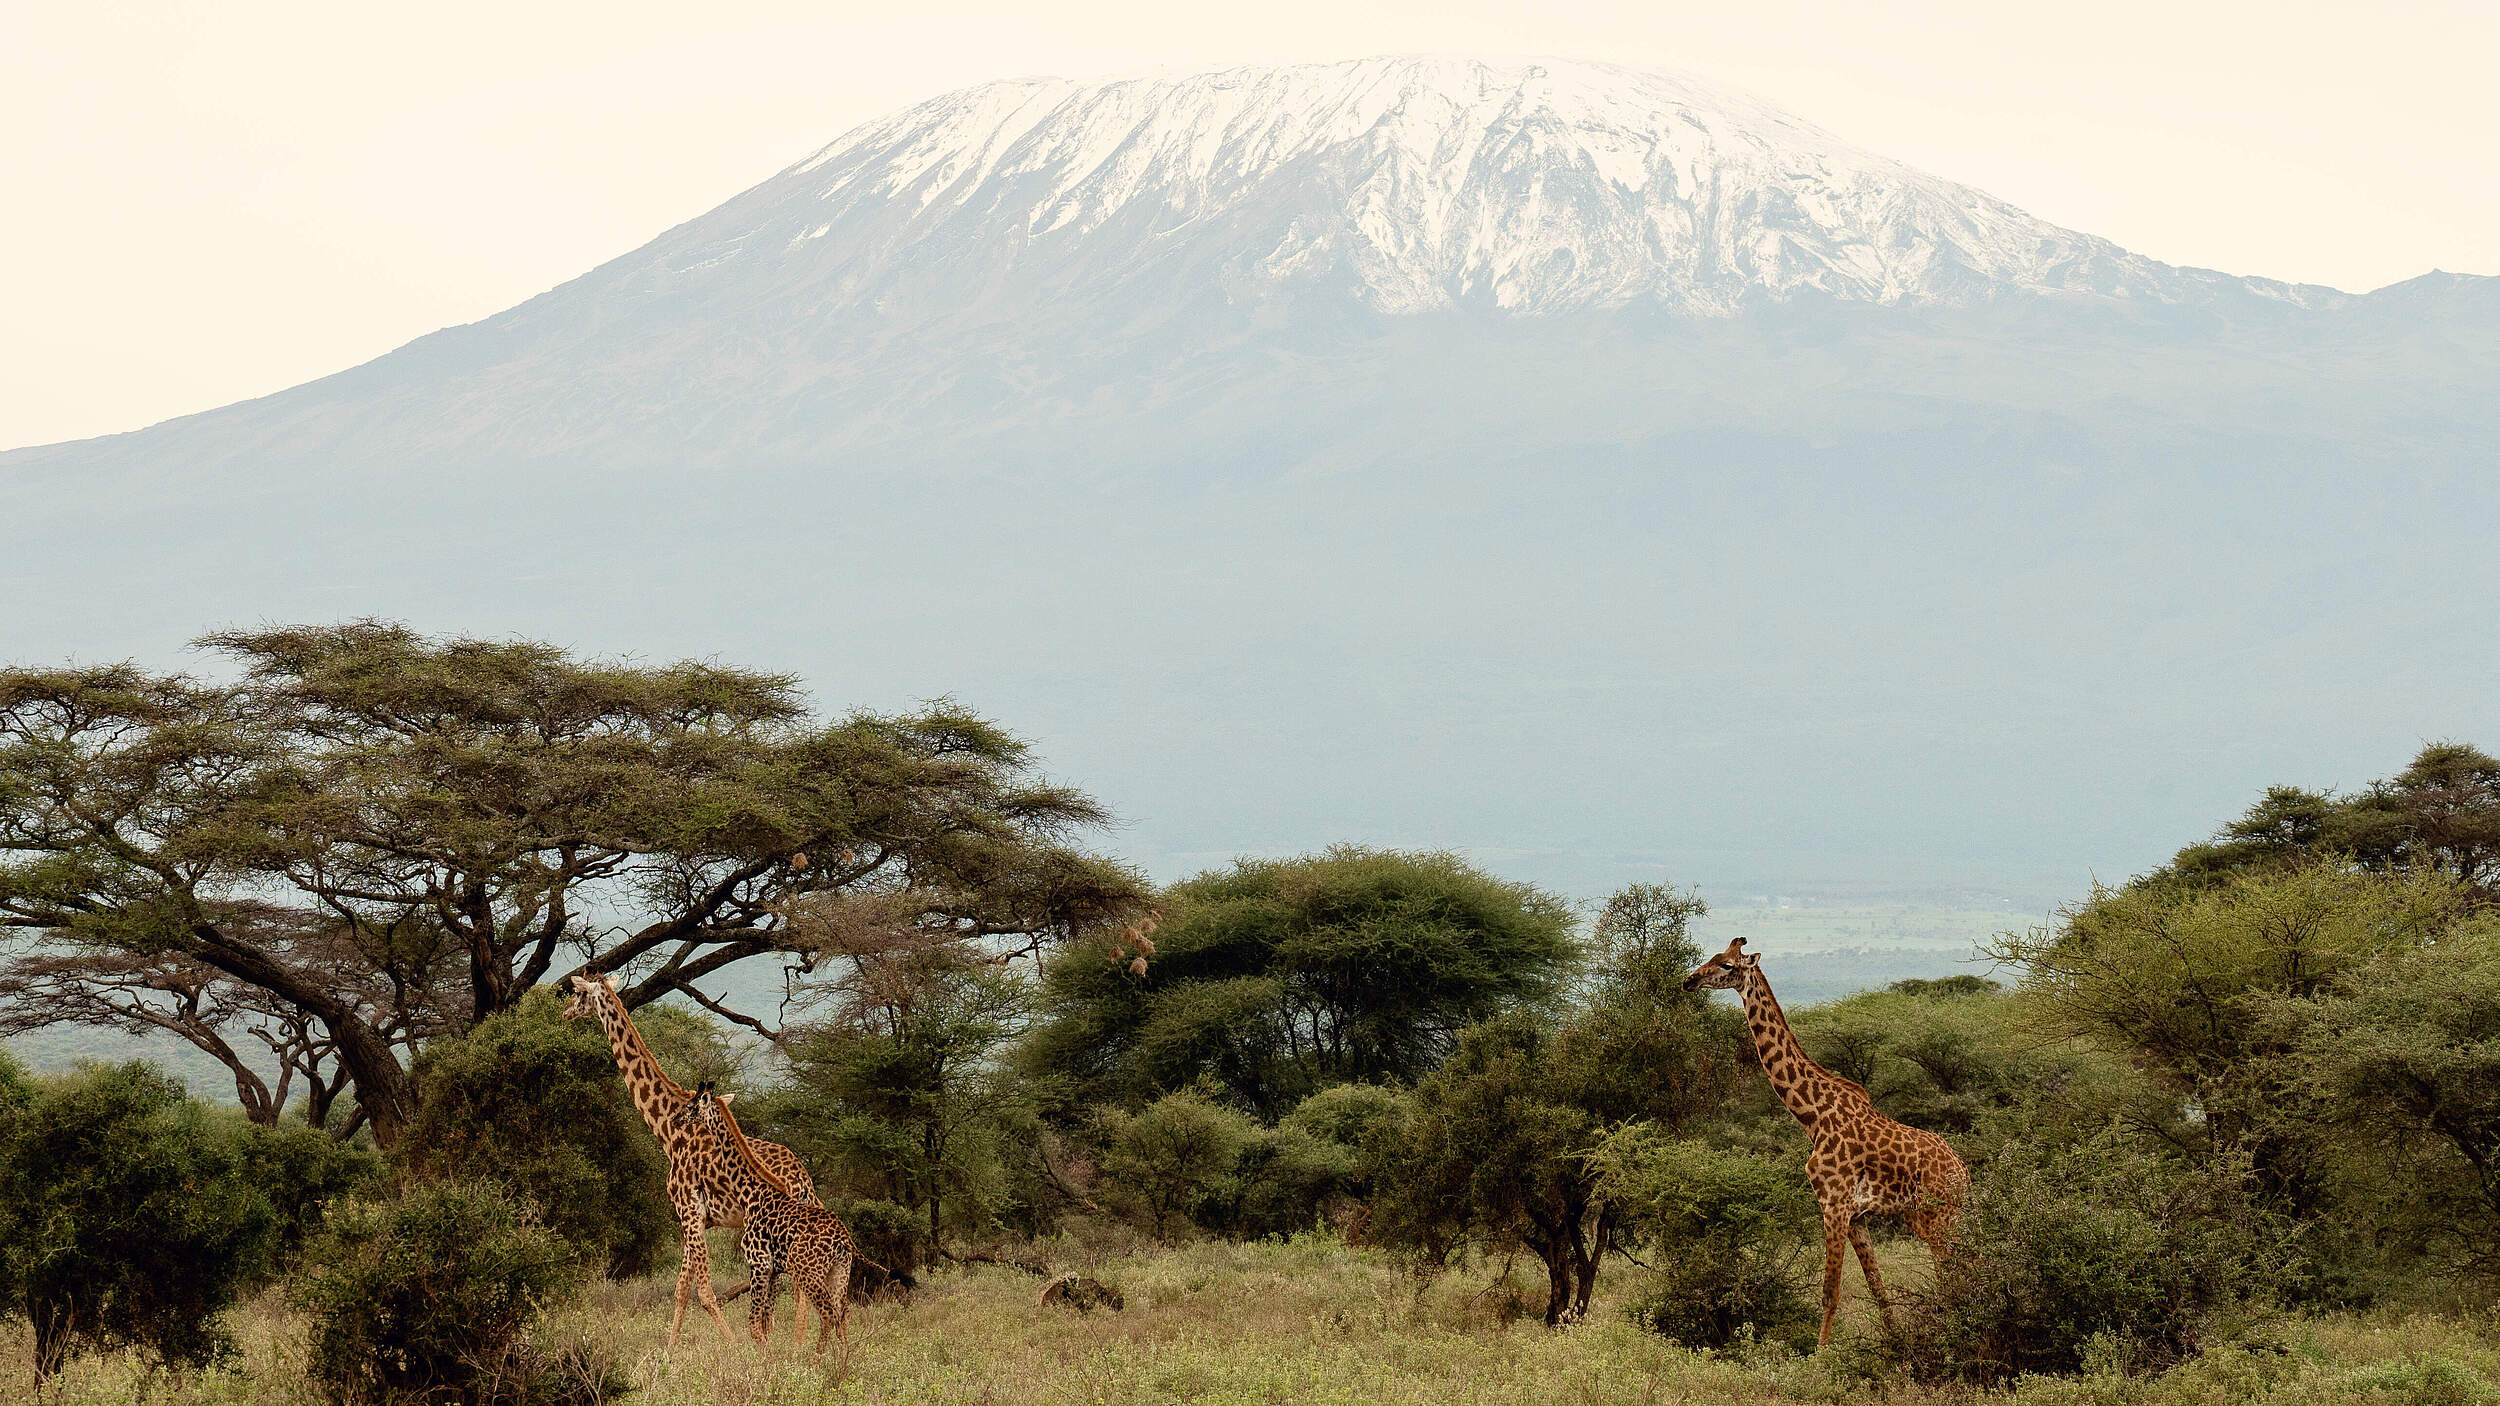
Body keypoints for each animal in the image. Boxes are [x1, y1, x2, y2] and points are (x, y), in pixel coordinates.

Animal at [562, 971, 821, 1345]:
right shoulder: (695, 1217)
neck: (668, 1130)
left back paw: (795, 1343)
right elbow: (682, 1289)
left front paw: (733, 1346)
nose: (565, 1013)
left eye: (579, 994)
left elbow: (704, 1291)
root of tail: (803, 1179)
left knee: (798, 1284)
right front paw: (670, 1349)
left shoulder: (688, 1210)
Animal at [672, 1082, 856, 1354]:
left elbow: (754, 1324)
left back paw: (815, 1358)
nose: (675, 1119)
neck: (750, 1191)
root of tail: (843, 1240)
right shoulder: (772, 1268)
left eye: (690, 1106)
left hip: (810, 1272)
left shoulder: (759, 1262)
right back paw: (840, 1358)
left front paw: (767, 1359)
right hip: (839, 1271)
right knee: (842, 1314)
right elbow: (764, 1321)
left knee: (826, 1313)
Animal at [1683, 937, 1967, 1346]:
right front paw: (1895, 1344)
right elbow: (1878, 1288)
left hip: (1939, 1215)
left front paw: (1820, 1357)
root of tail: (1964, 1174)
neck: (1811, 1116)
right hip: (1924, 1215)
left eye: (1726, 965)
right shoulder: (1856, 1215)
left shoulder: (1833, 1204)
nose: (1689, 981)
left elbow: (1830, 1292)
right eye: (1712, 956)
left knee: (1955, 1271)